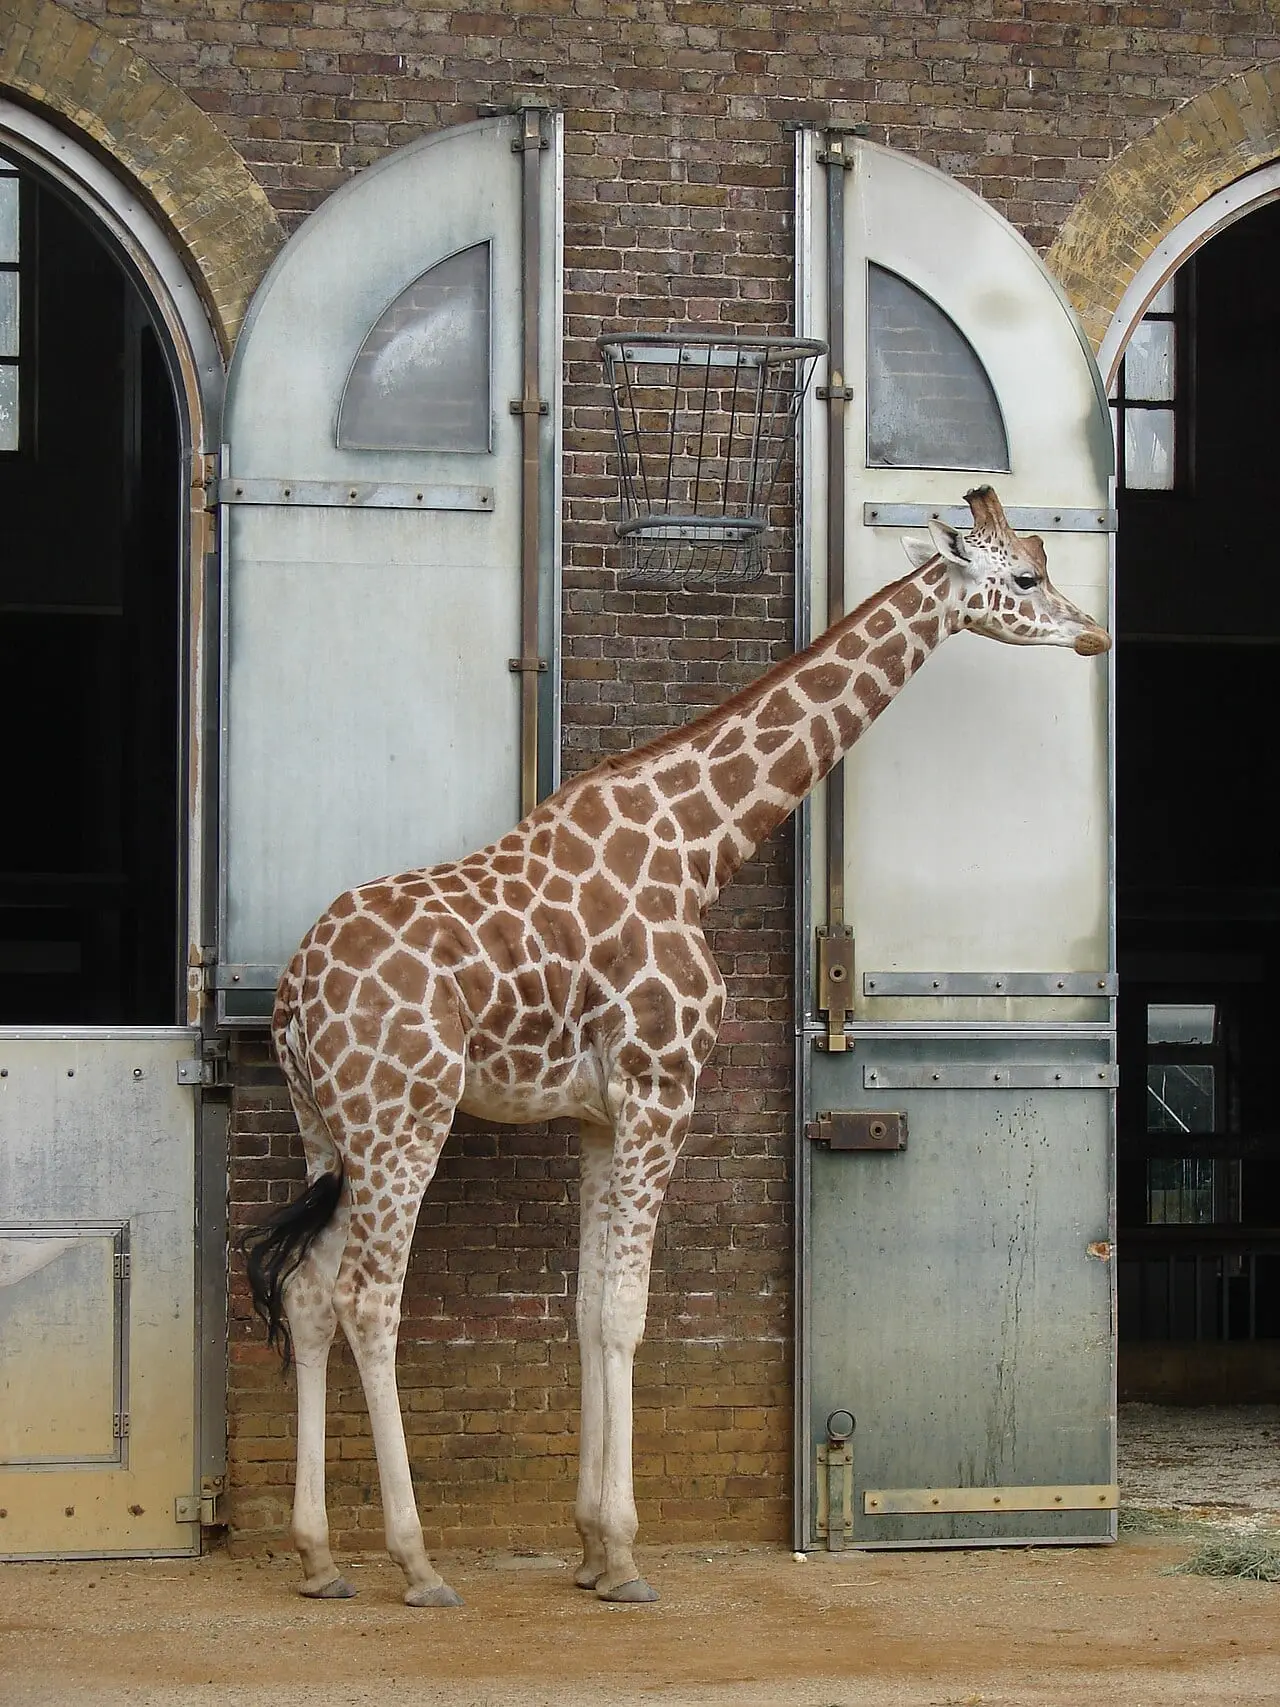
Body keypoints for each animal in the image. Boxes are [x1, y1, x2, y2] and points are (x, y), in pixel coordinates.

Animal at [243, 485, 1110, 1608]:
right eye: (1025, 576)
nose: (1092, 633)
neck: (698, 846)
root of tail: (293, 994)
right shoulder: (663, 1091)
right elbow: (627, 1312)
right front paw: (622, 1552)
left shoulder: (600, 1116)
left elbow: (586, 1313)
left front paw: (588, 1546)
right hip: (404, 1120)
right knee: (368, 1298)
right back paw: (416, 1559)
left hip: (326, 1127)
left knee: (308, 1297)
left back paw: (317, 1557)